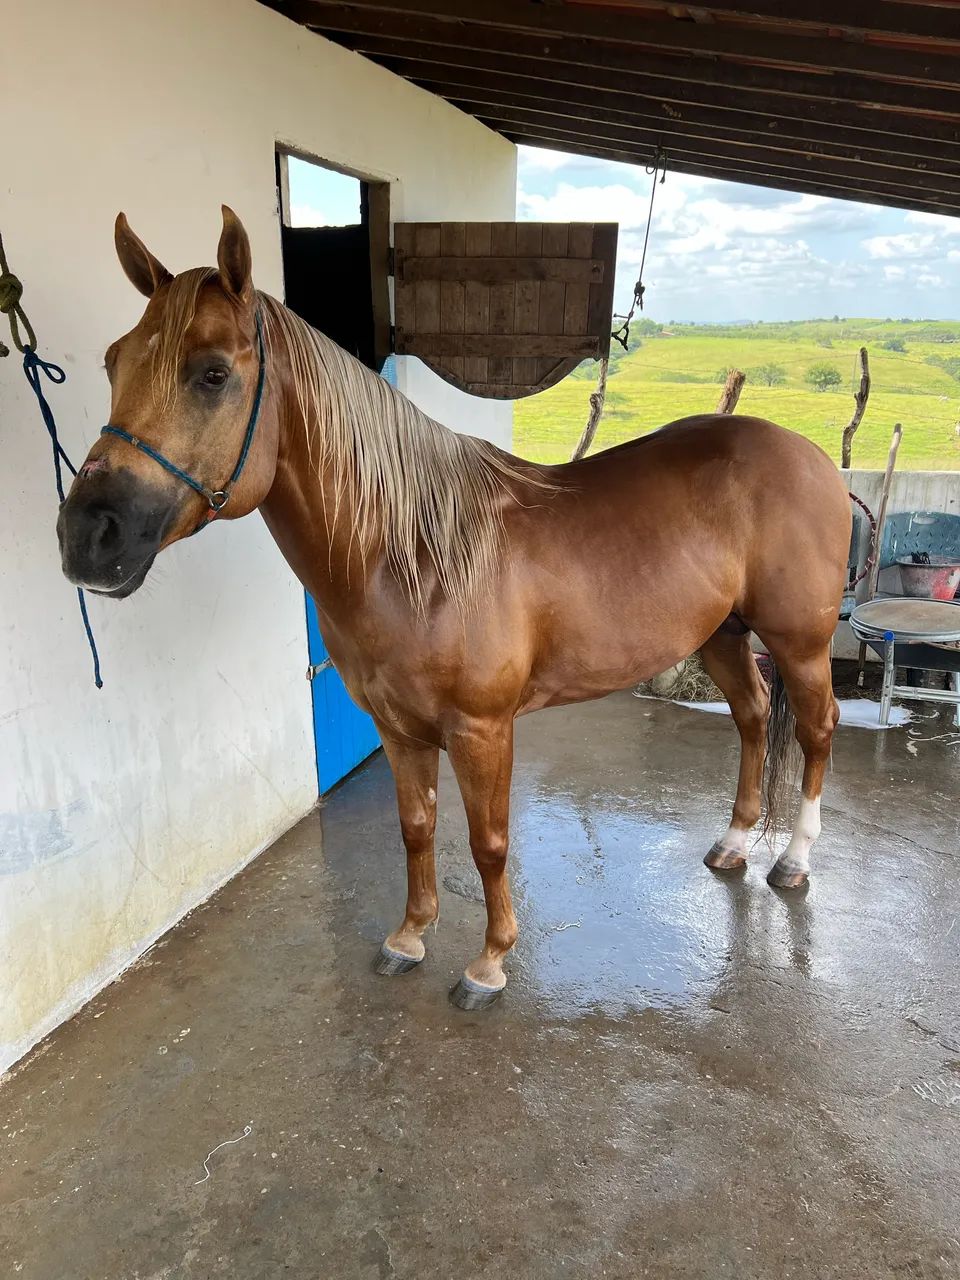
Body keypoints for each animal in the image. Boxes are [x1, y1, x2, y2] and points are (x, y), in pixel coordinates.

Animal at [58, 207, 851, 1010]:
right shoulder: (398, 729)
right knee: (753, 718)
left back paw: (792, 861)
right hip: (722, 634)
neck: (414, 557)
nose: (87, 536)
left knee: (815, 730)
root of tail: (811, 458)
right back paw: (732, 846)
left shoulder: (482, 731)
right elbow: (416, 828)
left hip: (799, 642)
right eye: (114, 363)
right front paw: (409, 937)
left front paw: (489, 963)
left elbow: (488, 843)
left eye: (213, 373)